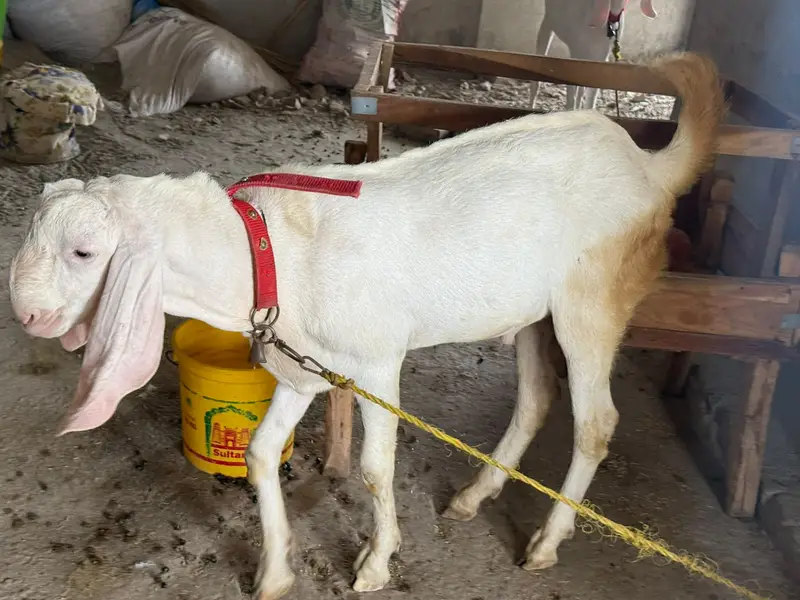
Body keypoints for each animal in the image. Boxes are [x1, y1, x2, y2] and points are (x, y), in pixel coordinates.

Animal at [9, 52, 723, 600]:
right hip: (532, 313)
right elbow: (262, 455)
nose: (26, 314)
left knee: (596, 421)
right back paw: (474, 496)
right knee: (537, 398)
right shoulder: (300, 369)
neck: (268, 248)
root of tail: (646, 165)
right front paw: (274, 574)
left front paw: (376, 564)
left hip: (592, 302)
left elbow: (377, 469)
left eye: (84, 252)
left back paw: (546, 543)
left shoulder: (378, 363)